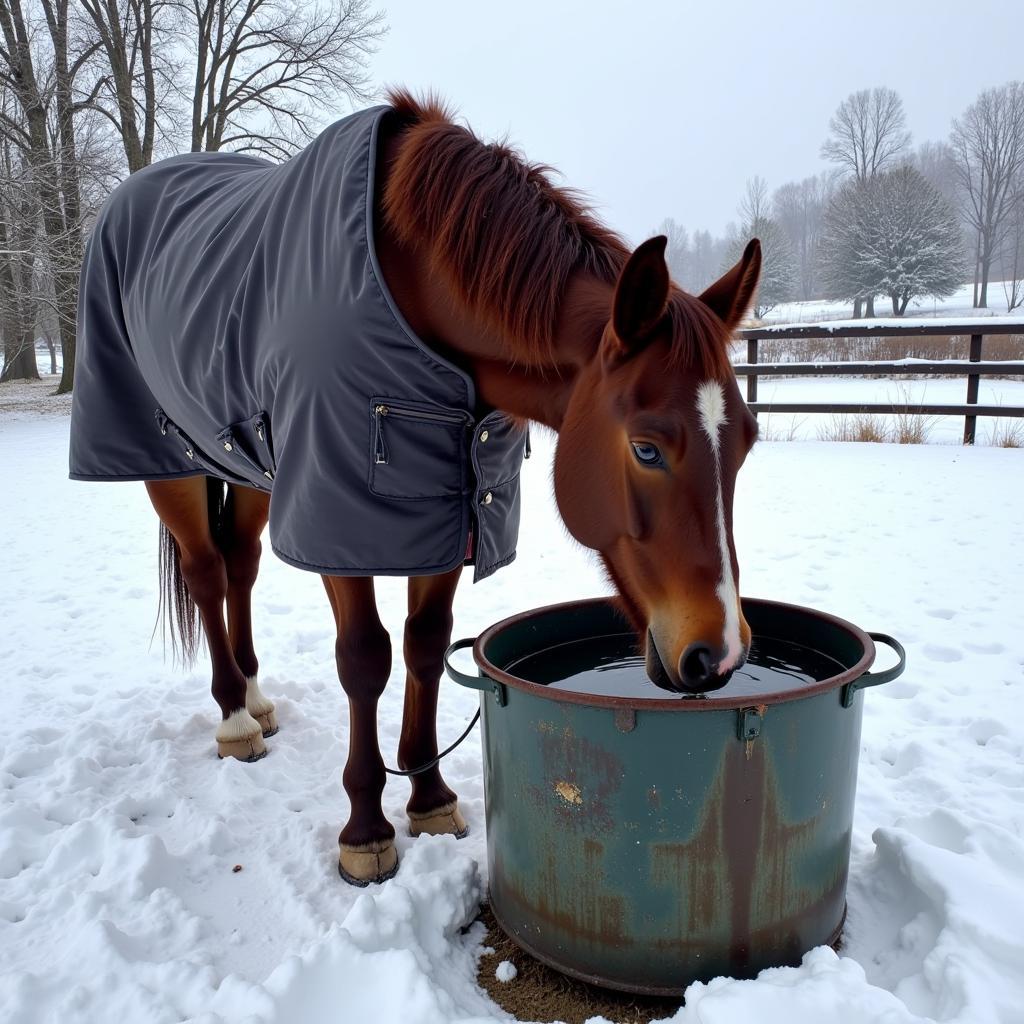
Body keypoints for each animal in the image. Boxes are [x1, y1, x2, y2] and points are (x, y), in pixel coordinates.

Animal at [70, 90, 761, 888]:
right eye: (647, 448)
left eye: (747, 441)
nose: (719, 656)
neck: (413, 299)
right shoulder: (341, 520)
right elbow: (365, 660)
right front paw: (366, 828)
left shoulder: (450, 511)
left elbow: (427, 647)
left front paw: (429, 796)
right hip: (170, 461)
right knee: (208, 573)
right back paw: (235, 718)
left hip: (248, 469)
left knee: (239, 565)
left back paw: (256, 697)